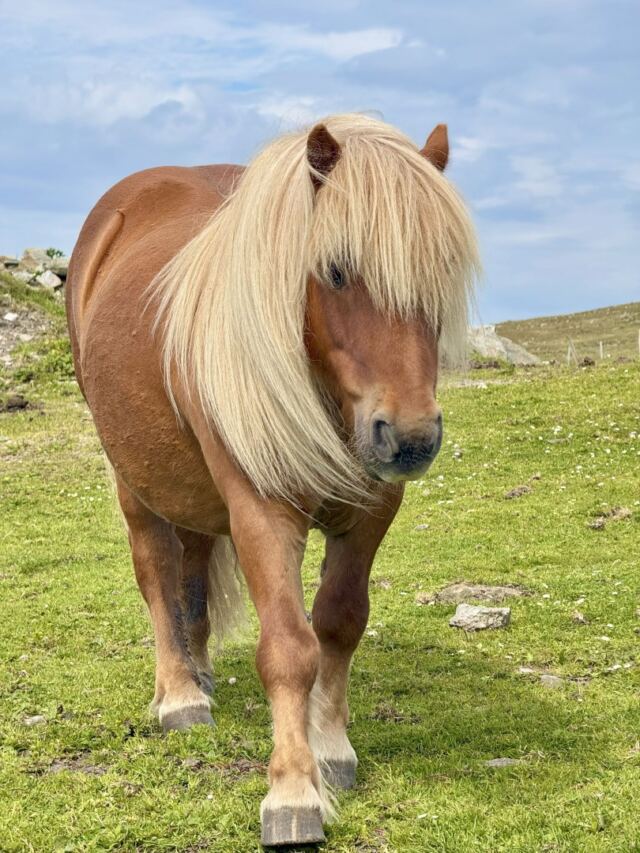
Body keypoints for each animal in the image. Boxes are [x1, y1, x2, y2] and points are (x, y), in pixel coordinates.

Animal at [66, 113, 479, 847]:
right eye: (337, 269)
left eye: (443, 273)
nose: (410, 438)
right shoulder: (263, 512)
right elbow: (289, 647)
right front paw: (291, 791)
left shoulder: (372, 507)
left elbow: (339, 623)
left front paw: (332, 751)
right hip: (132, 481)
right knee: (156, 571)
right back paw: (179, 695)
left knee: (192, 571)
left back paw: (199, 671)